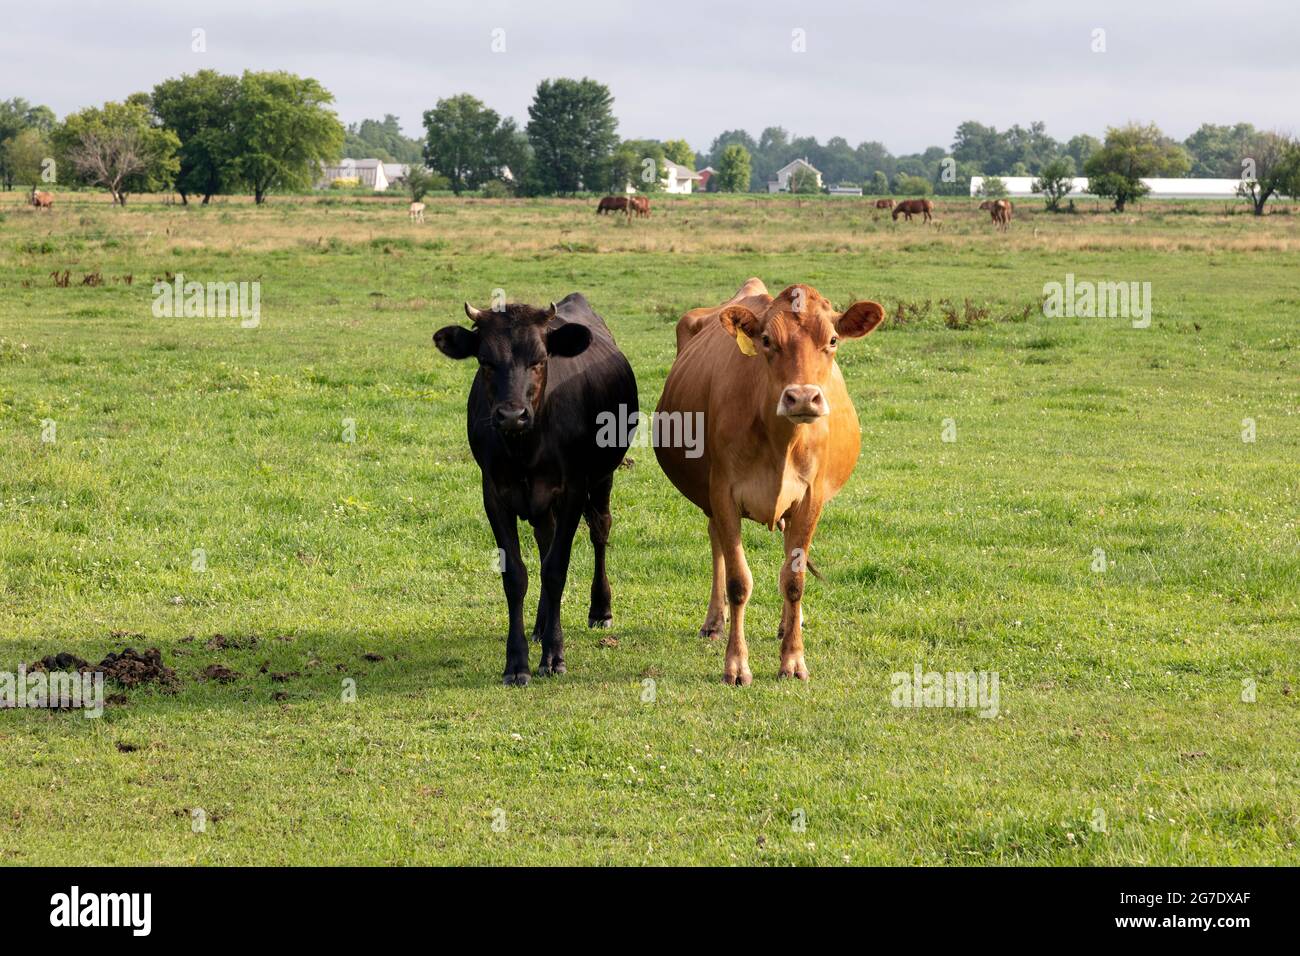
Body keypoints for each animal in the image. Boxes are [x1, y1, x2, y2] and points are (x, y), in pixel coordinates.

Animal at [436, 295, 639, 686]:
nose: (512, 415)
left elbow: (556, 568)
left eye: (540, 360)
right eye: (485, 361)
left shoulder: (573, 489)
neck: (525, 448)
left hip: (602, 478)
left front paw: (554, 656)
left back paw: (600, 609)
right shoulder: (494, 494)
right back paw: (541, 625)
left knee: (600, 531)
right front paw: (517, 662)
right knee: (545, 543)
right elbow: (517, 574)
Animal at [655, 277, 889, 686]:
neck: (781, 441)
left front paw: (792, 660)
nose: (802, 397)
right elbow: (738, 582)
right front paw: (736, 665)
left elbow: (794, 580)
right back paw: (714, 621)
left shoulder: (811, 498)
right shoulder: (723, 494)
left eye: (833, 340)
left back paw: (788, 624)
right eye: (766, 340)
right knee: (717, 542)